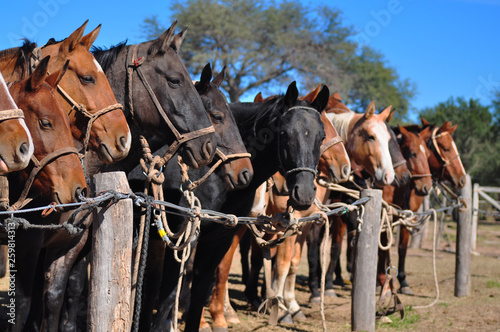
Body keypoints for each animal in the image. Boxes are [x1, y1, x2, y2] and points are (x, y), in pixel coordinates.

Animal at [151, 81, 332, 332]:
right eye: (284, 133)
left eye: (321, 137)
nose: (304, 192)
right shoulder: (183, 238)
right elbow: (171, 295)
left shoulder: (220, 239)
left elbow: (203, 289)